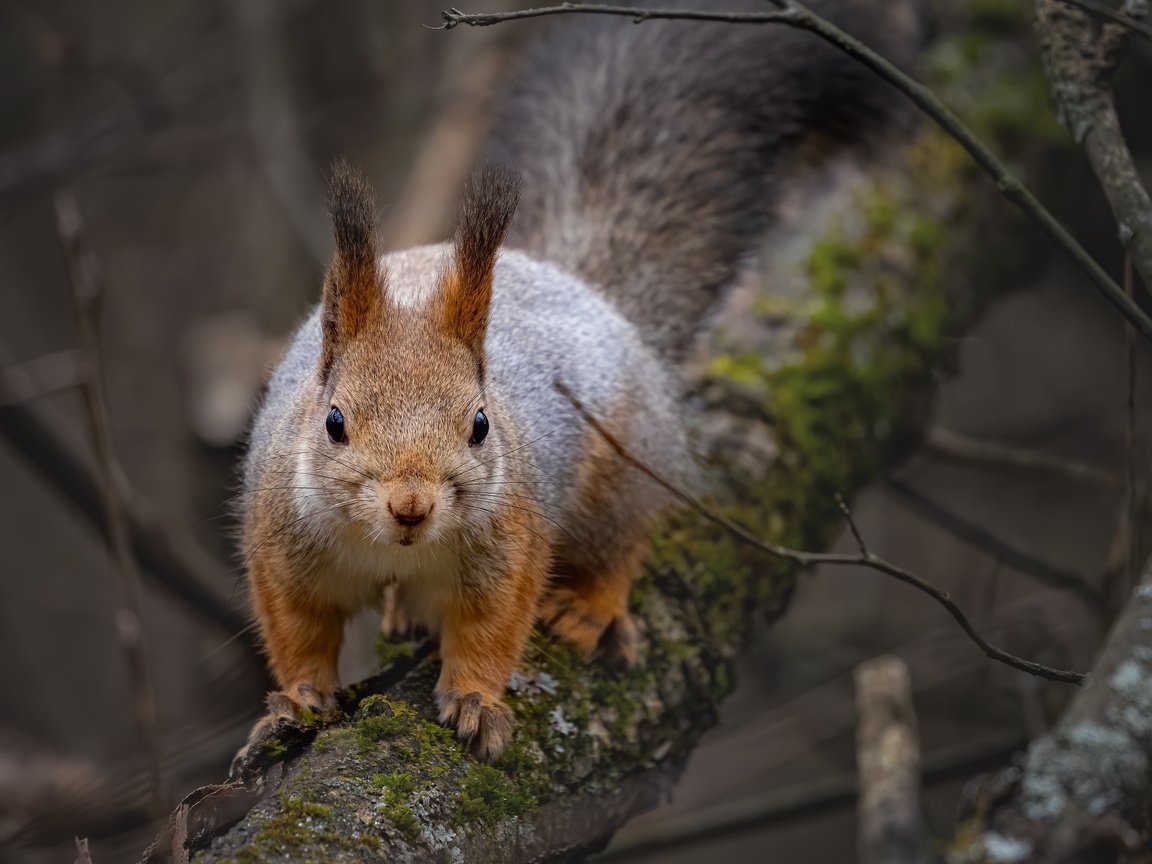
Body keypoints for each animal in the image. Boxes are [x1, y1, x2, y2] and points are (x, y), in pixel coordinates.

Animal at [238, 0, 912, 755]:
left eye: (480, 425)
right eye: (333, 423)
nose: (411, 506)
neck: (397, 551)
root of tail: (584, 289)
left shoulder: (513, 542)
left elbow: (492, 628)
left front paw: (474, 701)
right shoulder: (279, 544)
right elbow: (296, 629)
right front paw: (299, 699)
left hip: (620, 471)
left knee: (622, 543)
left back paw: (590, 607)